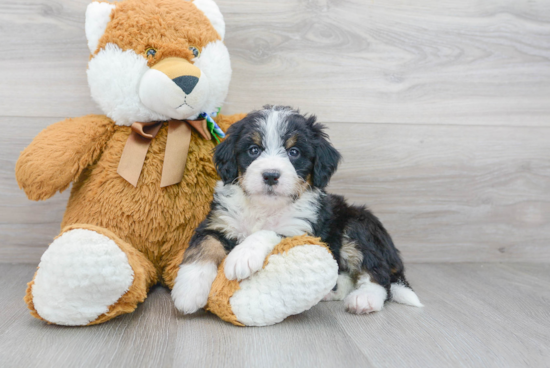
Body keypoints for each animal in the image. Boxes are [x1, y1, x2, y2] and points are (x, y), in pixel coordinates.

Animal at [175, 105, 424, 314]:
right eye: (254, 150)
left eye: (294, 152)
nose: (271, 175)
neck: (265, 207)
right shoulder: (218, 221)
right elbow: (203, 247)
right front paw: (189, 290)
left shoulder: (303, 229)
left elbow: (269, 232)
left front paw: (242, 256)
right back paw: (330, 292)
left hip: (359, 225)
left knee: (378, 274)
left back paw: (365, 298)